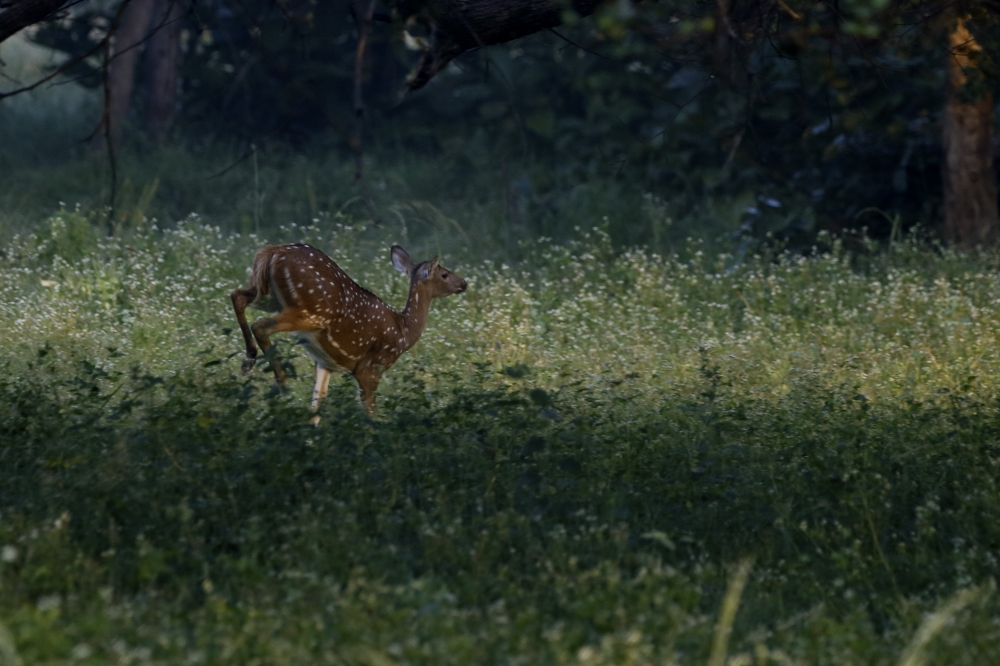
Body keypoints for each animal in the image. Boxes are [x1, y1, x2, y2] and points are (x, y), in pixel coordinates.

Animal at [230, 243, 467, 421]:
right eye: (445, 274)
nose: (464, 283)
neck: (404, 330)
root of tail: (272, 251)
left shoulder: (325, 363)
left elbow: (316, 408)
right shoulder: (371, 368)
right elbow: (370, 414)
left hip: (269, 296)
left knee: (237, 295)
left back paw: (251, 363)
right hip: (312, 311)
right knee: (260, 325)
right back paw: (276, 379)